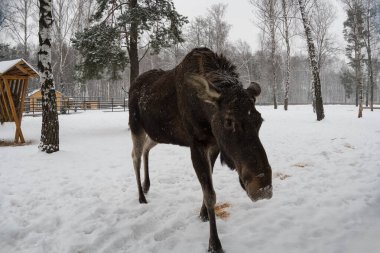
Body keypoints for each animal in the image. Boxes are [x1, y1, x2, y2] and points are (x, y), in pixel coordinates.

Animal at [129, 47, 272, 253]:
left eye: (259, 120)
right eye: (229, 121)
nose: (262, 187)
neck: (206, 114)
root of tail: (133, 84)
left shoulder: (213, 145)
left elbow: (208, 184)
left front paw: (203, 214)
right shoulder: (196, 144)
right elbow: (210, 194)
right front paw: (214, 243)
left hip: (157, 134)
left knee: (146, 149)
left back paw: (147, 185)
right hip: (136, 126)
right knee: (135, 156)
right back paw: (141, 196)